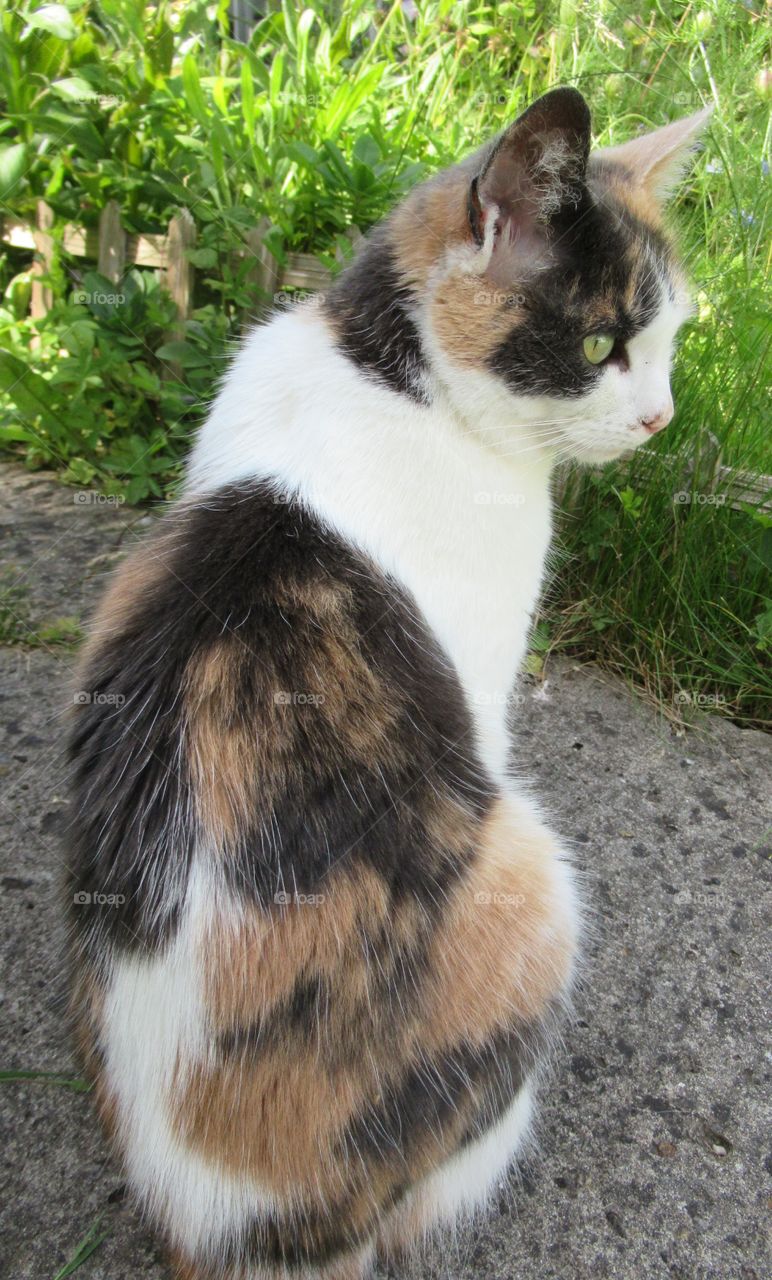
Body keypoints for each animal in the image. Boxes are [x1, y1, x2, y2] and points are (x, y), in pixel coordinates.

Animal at [69, 90, 711, 1280]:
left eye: (672, 339)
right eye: (600, 343)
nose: (660, 416)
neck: (386, 372)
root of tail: (222, 1226)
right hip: (535, 880)